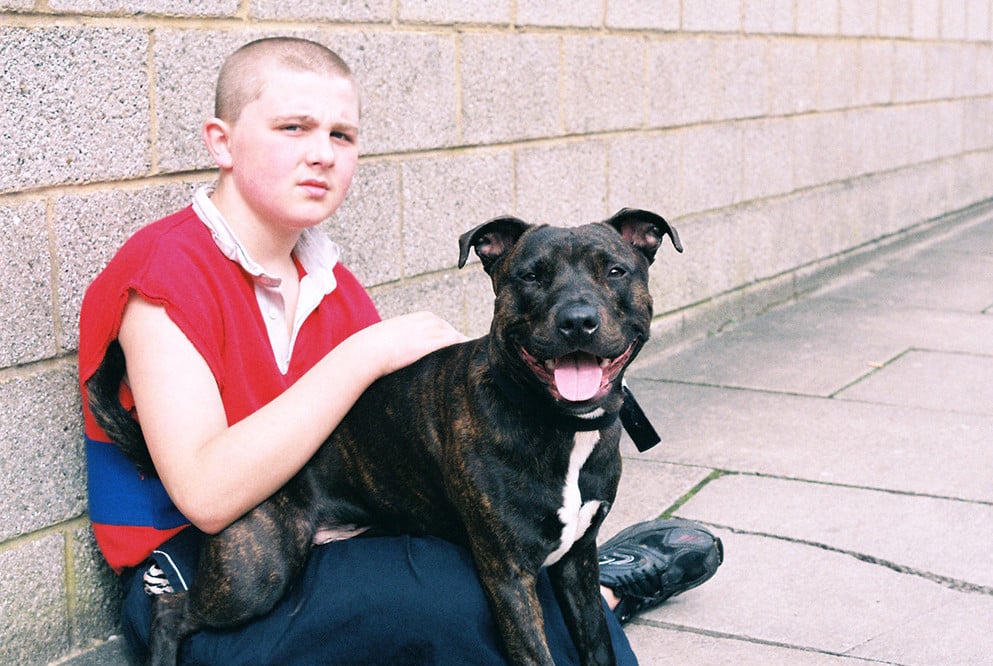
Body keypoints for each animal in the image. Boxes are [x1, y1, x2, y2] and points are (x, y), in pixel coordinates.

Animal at [89, 208, 680, 664]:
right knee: (170, 610)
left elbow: (598, 646)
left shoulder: (578, 559)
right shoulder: (510, 577)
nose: (577, 320)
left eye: (615, 270)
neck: (560, 425)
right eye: (530, 276)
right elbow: (536, 653)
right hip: (255, 576)